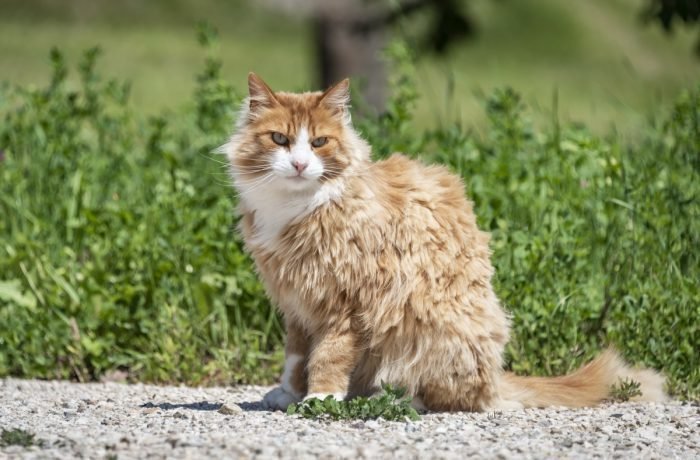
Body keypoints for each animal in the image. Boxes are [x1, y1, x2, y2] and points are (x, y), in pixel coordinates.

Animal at [226, 73, 668, 412]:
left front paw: (322, 398)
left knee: (447, 398)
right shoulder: (296, 302)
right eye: (279, 139)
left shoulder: (346, 303)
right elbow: (296, 356)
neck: (295, 207)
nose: (300, 164)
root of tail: (495, 380)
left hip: (432, 329)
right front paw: (289, 393)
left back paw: (392, 399)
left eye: (319, 143)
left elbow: (328, 356)